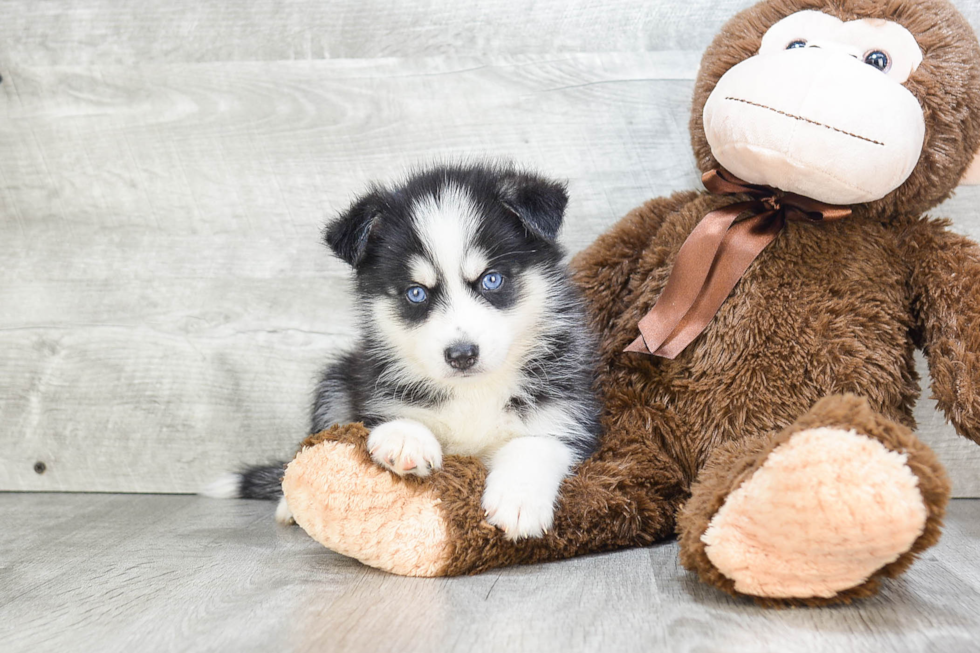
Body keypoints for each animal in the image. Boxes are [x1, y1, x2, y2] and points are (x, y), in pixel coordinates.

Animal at [211, 164, 600, 540]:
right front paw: (405, 439)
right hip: (335, 382)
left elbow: (536, 444)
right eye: (416, 293)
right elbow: (395, 415)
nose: (461, 355)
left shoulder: (569, 412)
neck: (472, 392)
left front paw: (518, 501)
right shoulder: (375, 388)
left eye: (492, 279)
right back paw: (289, 505)